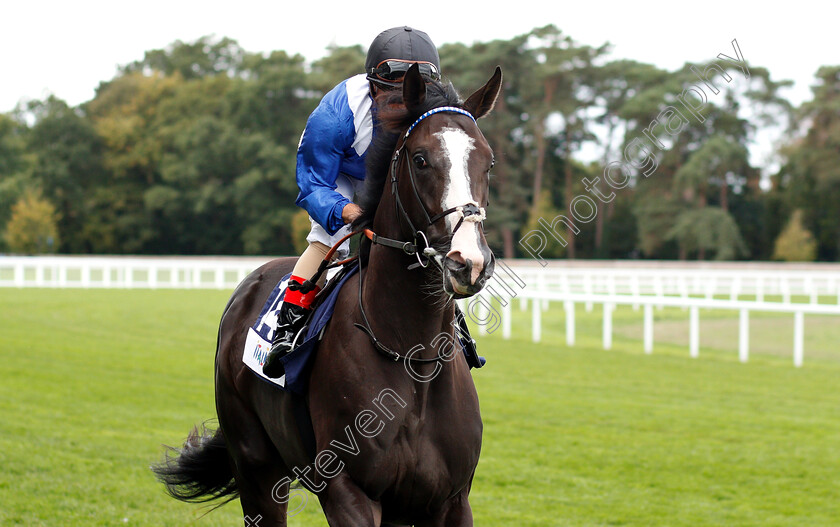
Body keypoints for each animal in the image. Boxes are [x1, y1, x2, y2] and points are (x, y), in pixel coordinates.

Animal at [154, 64, 502, 524]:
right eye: (421, 159)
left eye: (488, 161)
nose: (470, 262)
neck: (412, 357)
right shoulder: (347, 491)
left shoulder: (450, 500)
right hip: (256, 467)